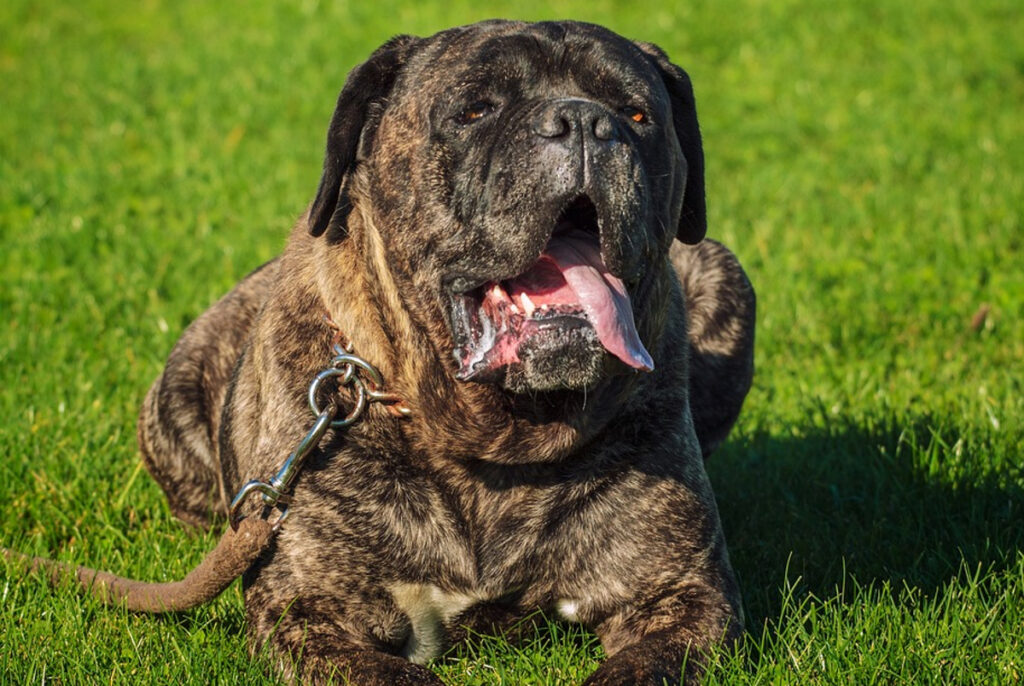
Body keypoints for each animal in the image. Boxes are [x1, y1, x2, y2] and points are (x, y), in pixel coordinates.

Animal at [138, 18, 753, 683]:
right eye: (475, 111)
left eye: (637, 115)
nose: (586, 121)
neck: (493, 441)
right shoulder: (309, 610)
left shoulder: (685, 595)